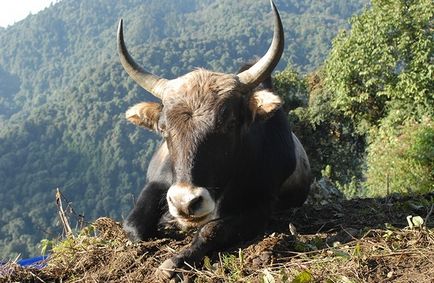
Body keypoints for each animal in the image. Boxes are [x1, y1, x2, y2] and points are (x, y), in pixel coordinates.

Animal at [117, 0, 310, 280]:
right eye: (163, 129)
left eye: (228, 123)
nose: (186, 202)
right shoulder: (157, 183)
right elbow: (134, 226)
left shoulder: (261, 206)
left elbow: (211, 230)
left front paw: (174, 262)